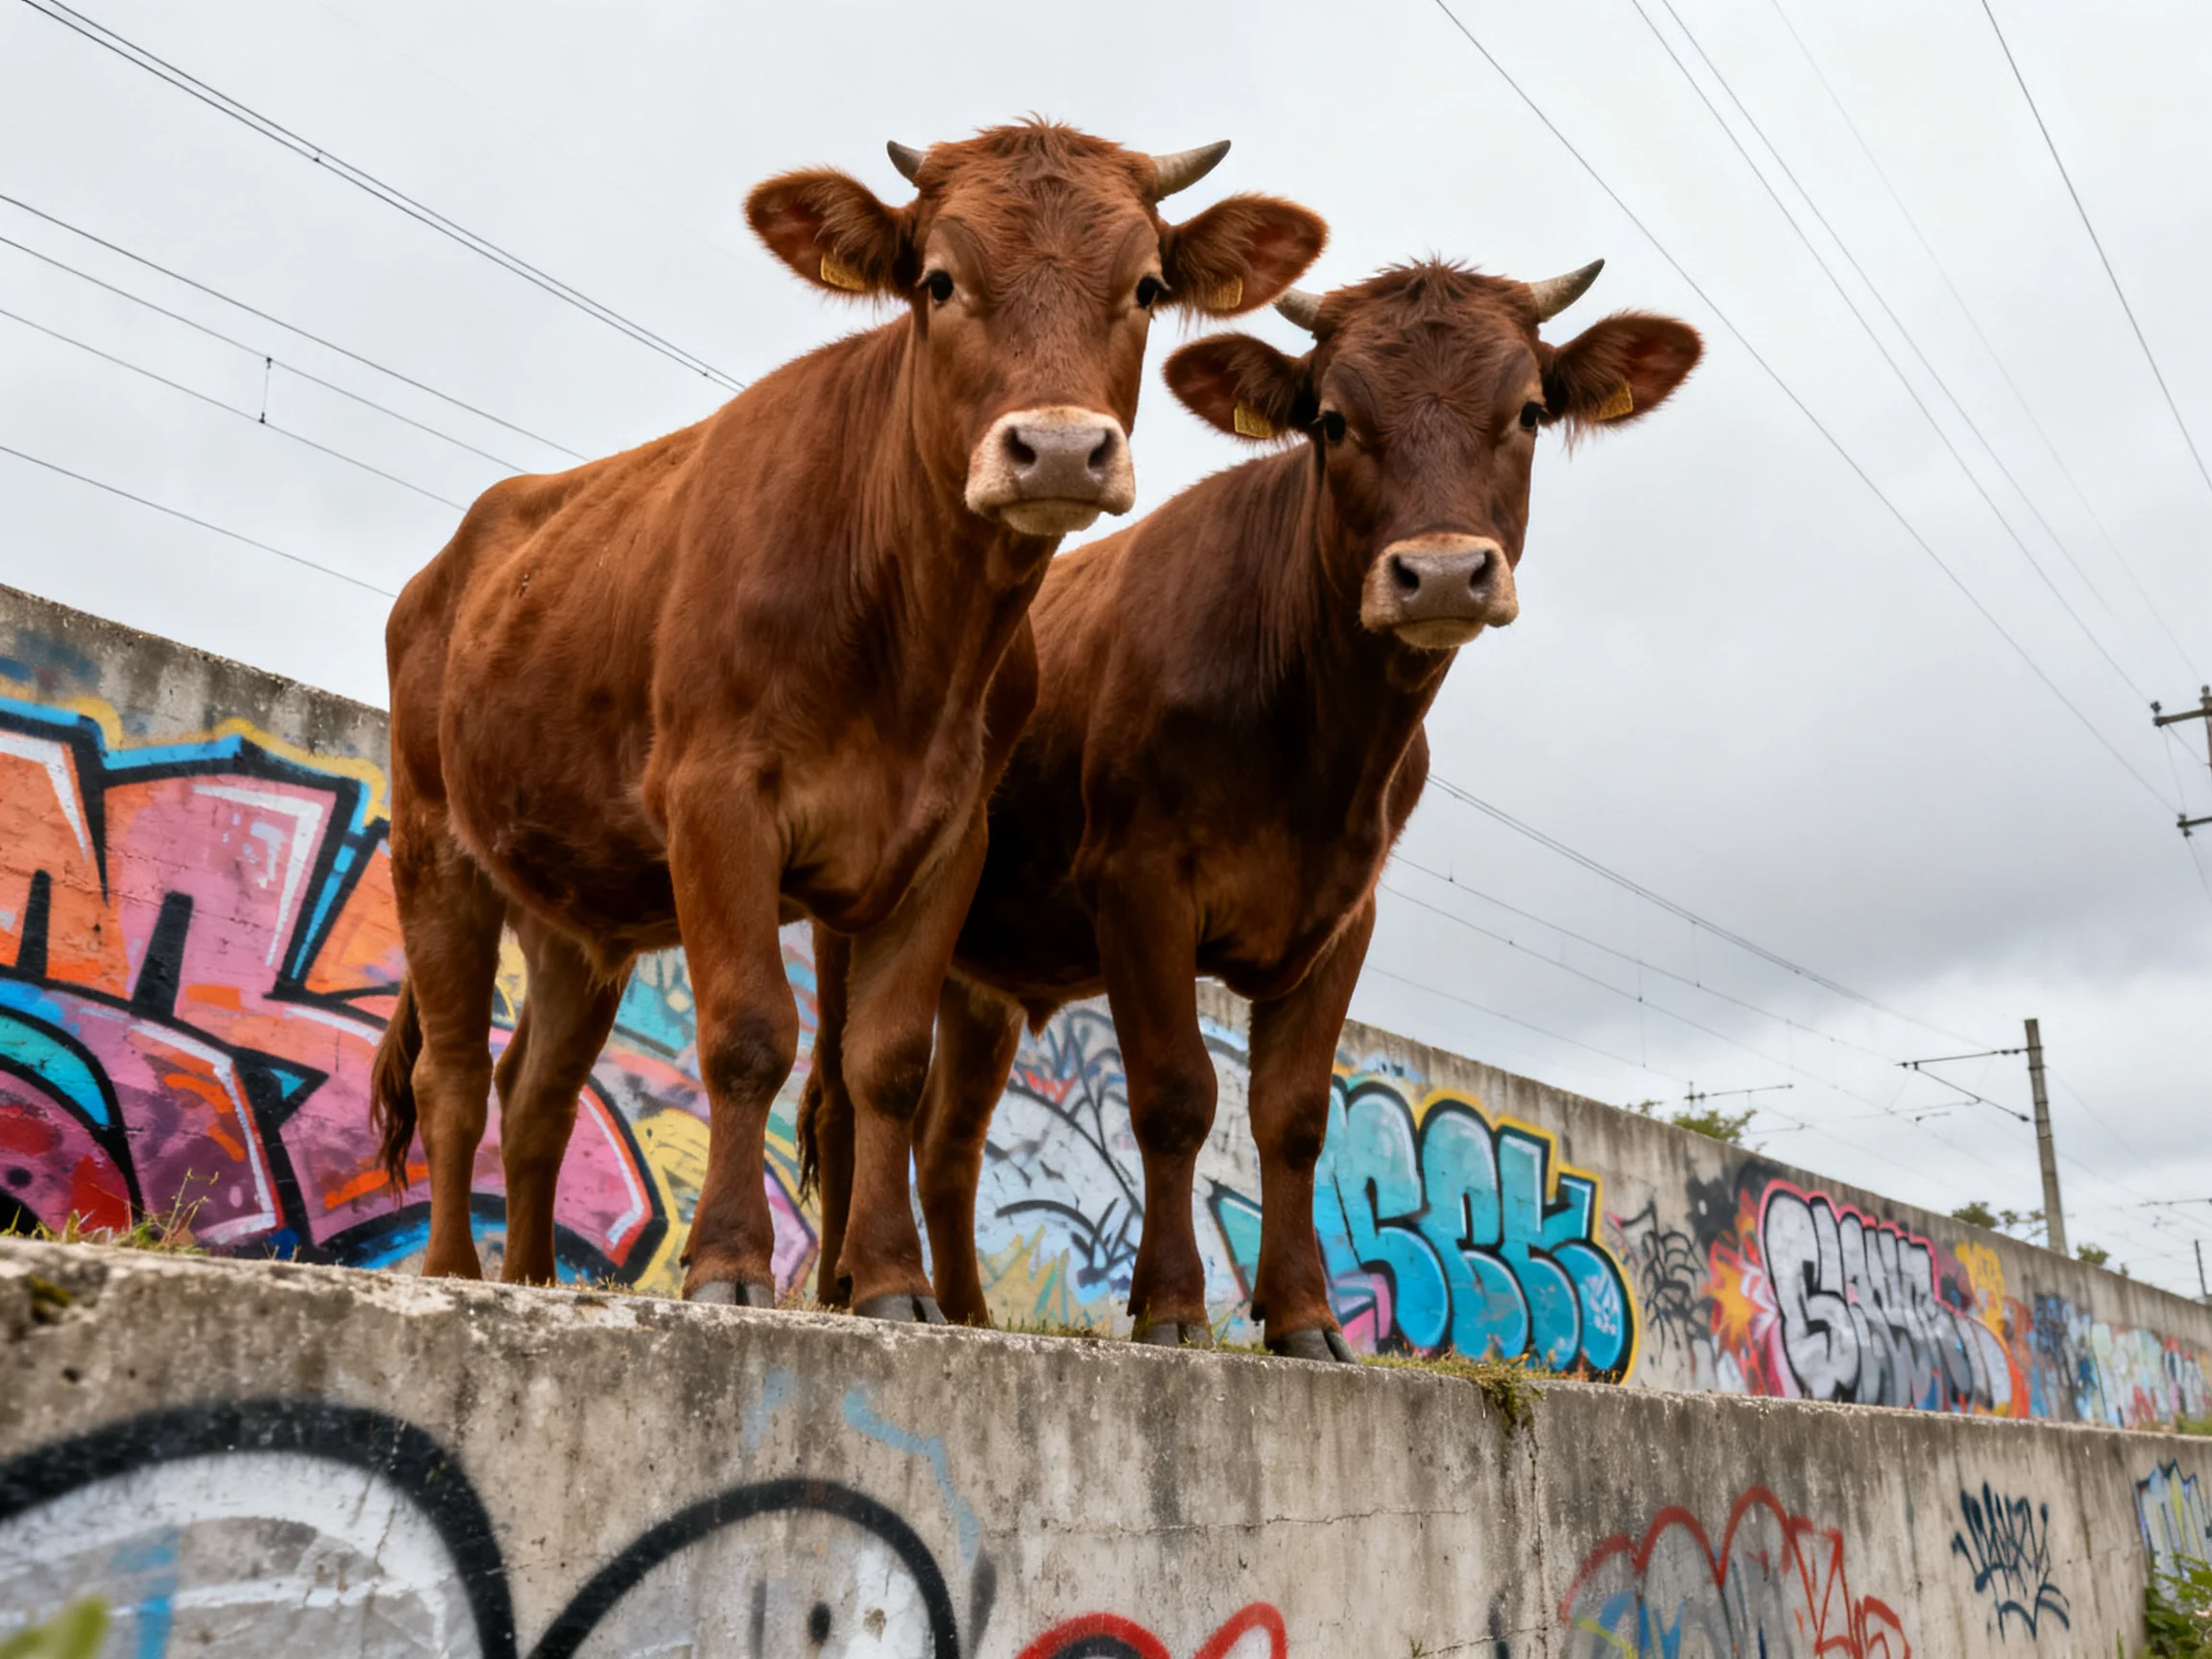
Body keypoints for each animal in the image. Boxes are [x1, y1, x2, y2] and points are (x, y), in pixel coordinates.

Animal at [369, 122, 1327, 1320]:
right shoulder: (715, 798)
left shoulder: (949, 840)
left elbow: (886, 1065)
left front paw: (890, 1284)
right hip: (433, 842)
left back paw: (536, 1280)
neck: (914, 646)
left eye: (1148, 286)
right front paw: (730, 1265)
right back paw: (456, 1273)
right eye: (938, 281)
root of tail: (455, 555)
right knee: (451, 1073)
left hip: (572, 904)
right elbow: (747, 1034)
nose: (1061, 449)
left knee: (536, 1087)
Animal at [801, 259, 1700, 1356]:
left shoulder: (1344, 914)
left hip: (983, 975)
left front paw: (1307, 1318)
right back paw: (849, 1291)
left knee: (952, 1137)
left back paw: (968, 1312)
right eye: (1331, 421)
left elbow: (1297, 1117)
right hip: (857, 907)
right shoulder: (1137, 881)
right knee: (841, 1097)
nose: (1443, 572)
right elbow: (1178, 1094)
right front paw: (1175, 1307)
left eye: (1528, 410)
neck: (1320, 750)